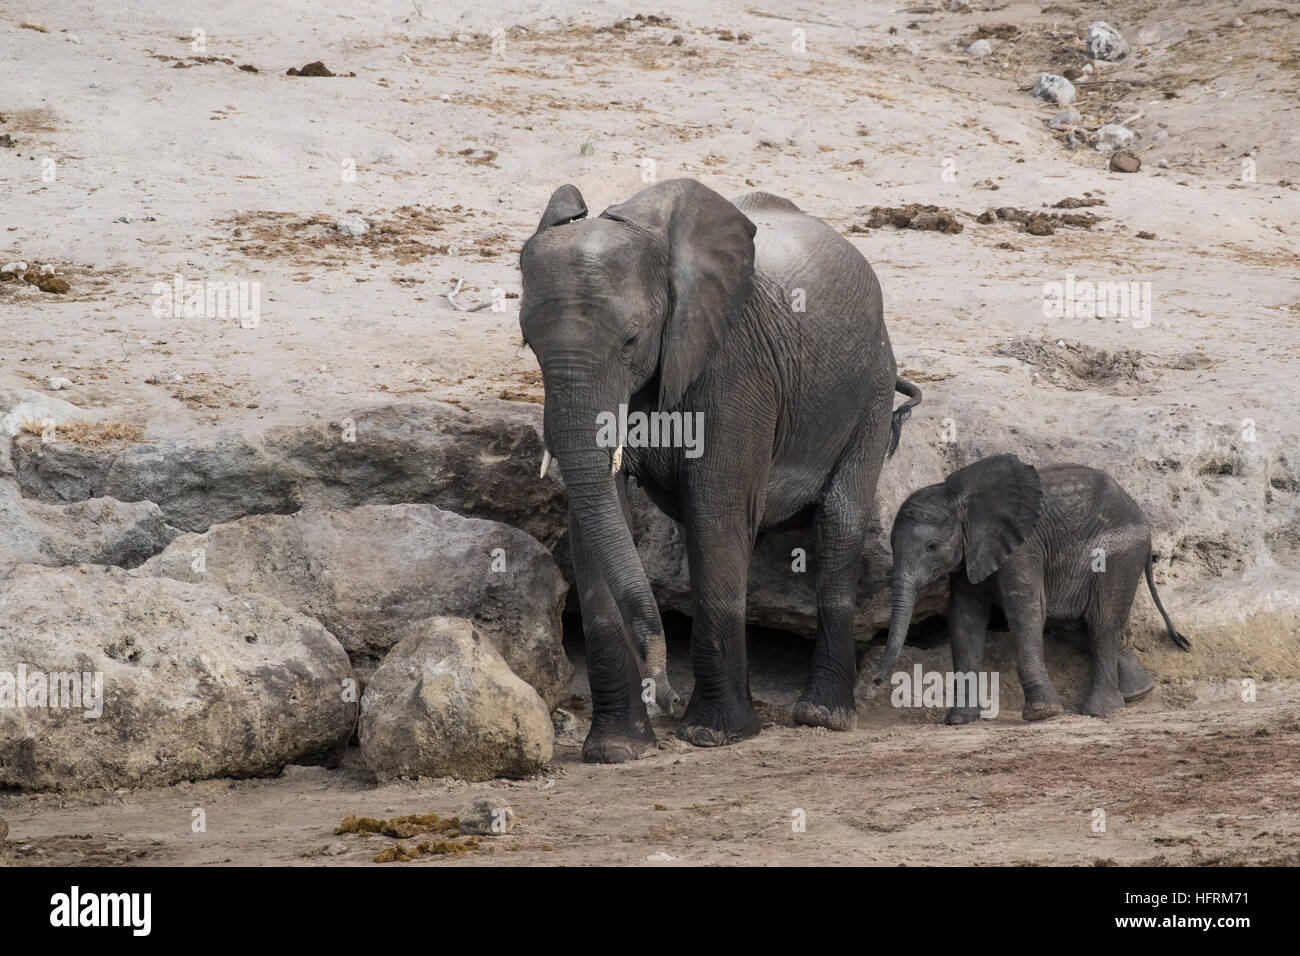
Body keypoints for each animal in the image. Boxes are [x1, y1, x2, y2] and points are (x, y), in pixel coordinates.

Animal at [514, 179, 915, 764]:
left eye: (631, 340)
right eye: (529, 343)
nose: (665, 690)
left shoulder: (735, 366)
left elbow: (717, 511)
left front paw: (712, 734)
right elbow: (595, 523)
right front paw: (617, 751)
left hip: (872, 388)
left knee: (838, 521)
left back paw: (822, 716)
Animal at [873, 452, 1190, 723]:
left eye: (932, 546)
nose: (876, 679)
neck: (959, 500)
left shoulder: (1023, 548)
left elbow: (1025, 609)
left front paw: (1042, 714)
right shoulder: (969, 554)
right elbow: (964, 619)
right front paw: (959, 720)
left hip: (1119, 553)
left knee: (1101, 620)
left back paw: (1101, 710)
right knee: (1073, 625)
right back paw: (1139, 692)